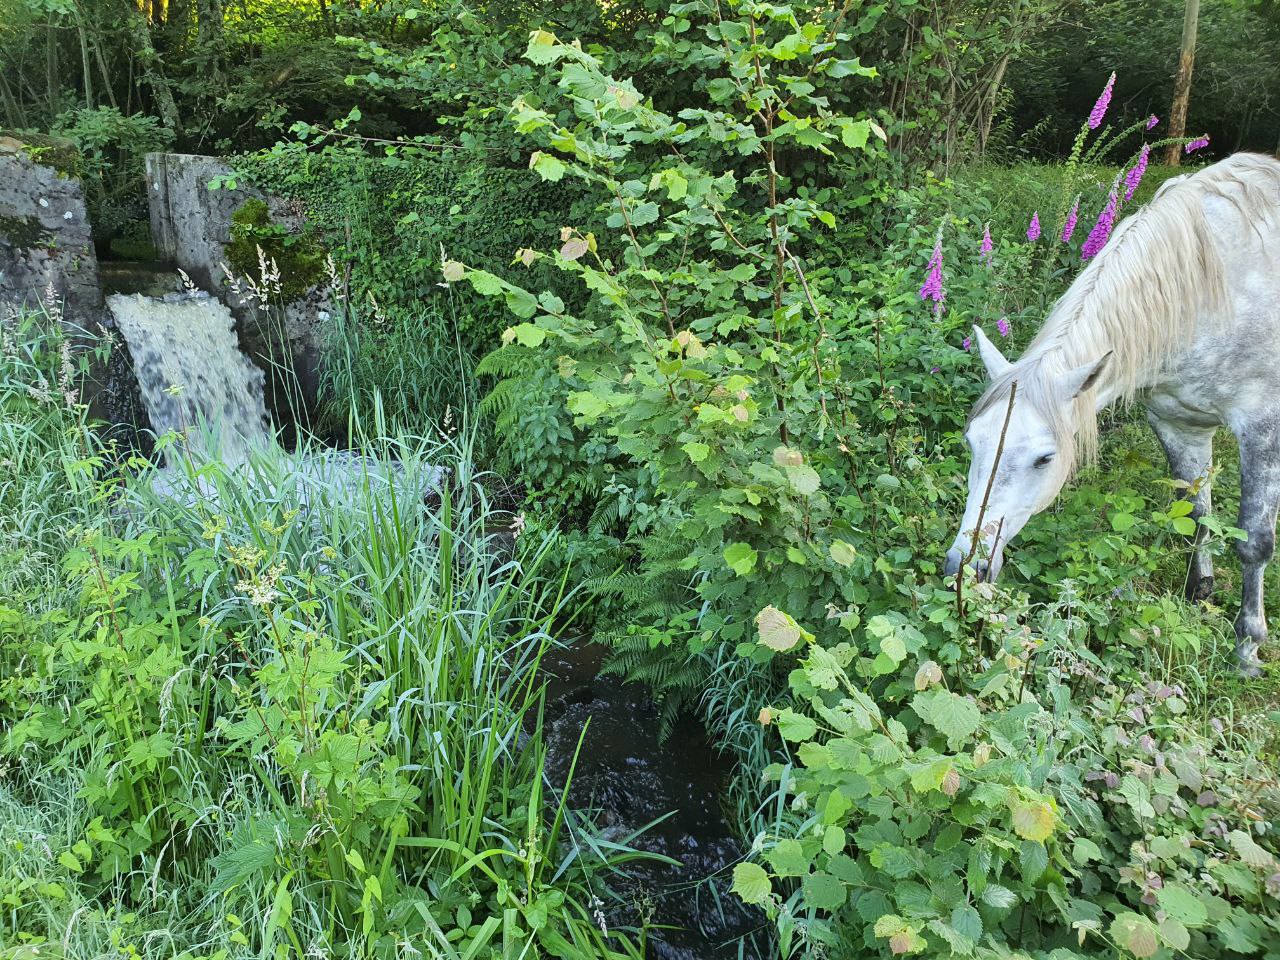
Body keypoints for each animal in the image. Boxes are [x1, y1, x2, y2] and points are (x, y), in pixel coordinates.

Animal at [945, 152, 1280, 676]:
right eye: (972, 443)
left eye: (1045, 458)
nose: (965, 565)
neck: (1210, 295)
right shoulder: (1179, 426)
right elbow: (1197, 515)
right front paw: (1201, 593)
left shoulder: (1262, 429)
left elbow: (1254, 542)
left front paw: (1247, 647)